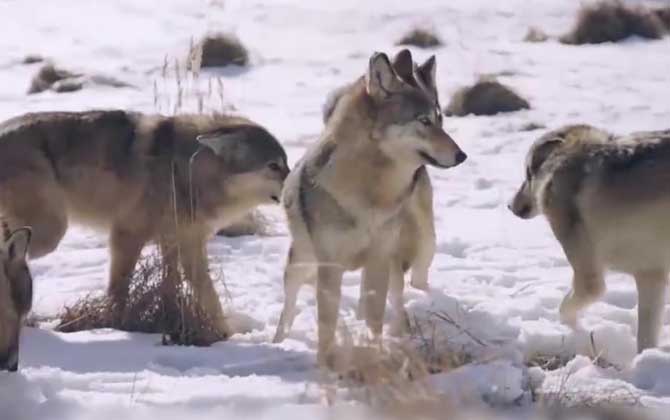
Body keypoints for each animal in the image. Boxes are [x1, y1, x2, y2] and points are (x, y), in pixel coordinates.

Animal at [0, 110, 288, 334]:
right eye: (273, 166)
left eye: (285, 165)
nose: (295, 185)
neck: (185, 171)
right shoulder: (127, 234)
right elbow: (120, 290)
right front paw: (114, 325)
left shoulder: (181, 244)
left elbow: (197, 293)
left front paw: (224, 334)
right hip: (52, 232)